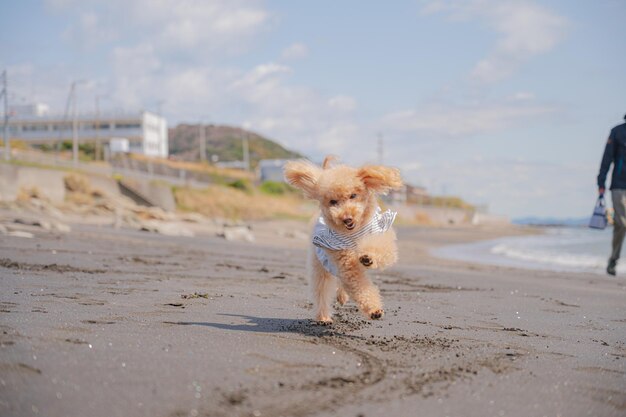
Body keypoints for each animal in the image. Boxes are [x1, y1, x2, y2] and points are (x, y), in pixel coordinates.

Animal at [282, 156, 400, 322]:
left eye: (353, 195)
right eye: (333, 202)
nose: (347, 218)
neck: (354, 233)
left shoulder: (379, 232)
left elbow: (379, 249)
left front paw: (368, 258)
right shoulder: (344, 258)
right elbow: (358, 284)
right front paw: (374, 310)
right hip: (320, 266)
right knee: (322, 290)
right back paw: (324, 317)